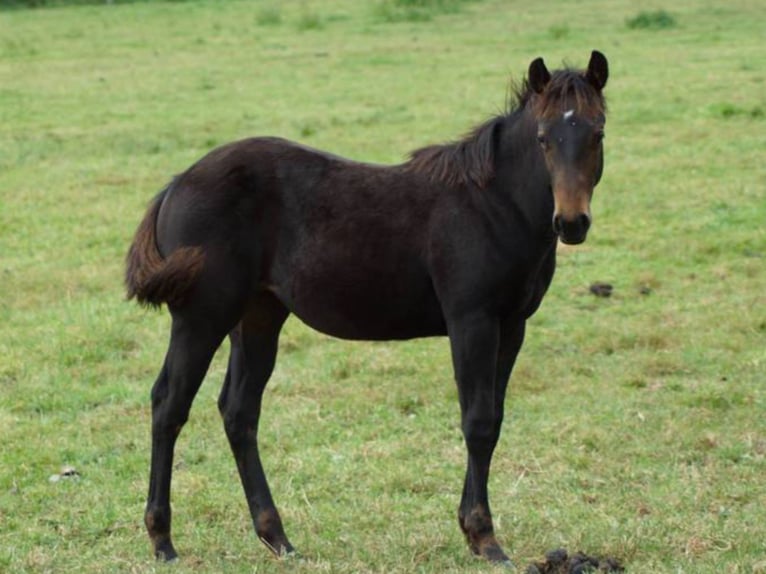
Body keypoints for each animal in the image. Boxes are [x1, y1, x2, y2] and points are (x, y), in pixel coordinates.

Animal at [125, 50, 609, 566]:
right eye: (542, 138)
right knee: (170, 403)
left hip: (257, 316)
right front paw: (484, 537)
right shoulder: (471, 320)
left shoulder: (512, 325)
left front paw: (473, 530)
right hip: (202, 314)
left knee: (239, 412)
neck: (492, 204)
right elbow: (477, 421)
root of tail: (176, 185)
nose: (572, 222)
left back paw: (277, 537)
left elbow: (494, 420)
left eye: (597, 132)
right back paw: (163, 540)